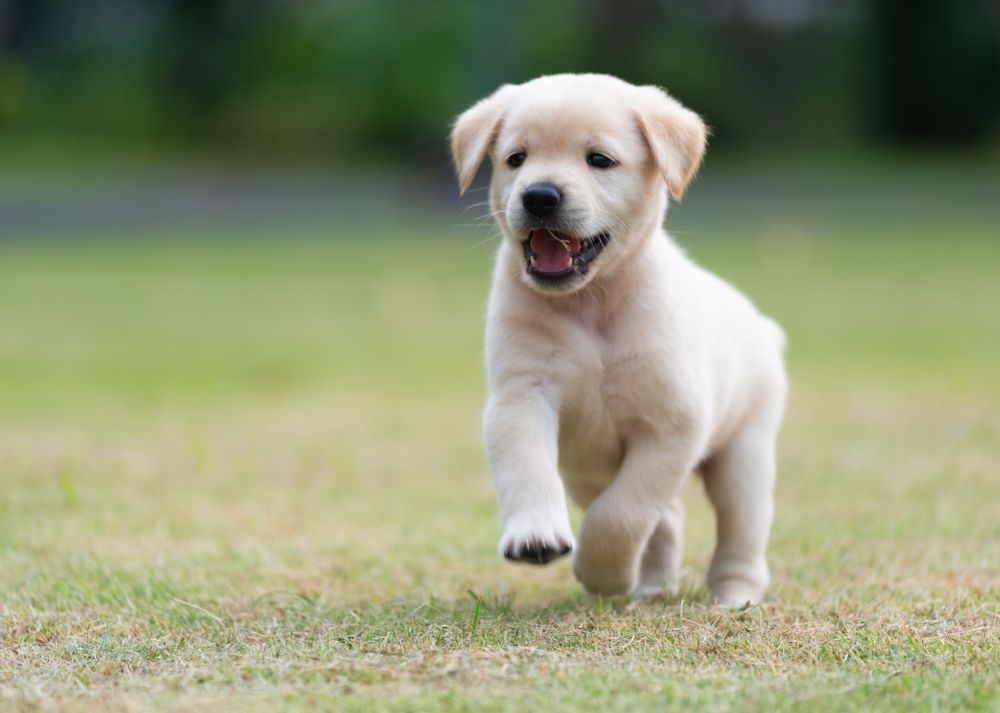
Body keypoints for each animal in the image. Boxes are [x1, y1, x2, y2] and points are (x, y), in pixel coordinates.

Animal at [450, 73, 784, 608]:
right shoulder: (521, 395)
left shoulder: (672, 426)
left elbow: (622, 513)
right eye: (516, 158)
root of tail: (763, 327)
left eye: (600, 160)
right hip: (584, 472)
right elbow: (527, 467)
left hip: (745, 454)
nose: (539, 195)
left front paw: (602, 573)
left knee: (739, 530)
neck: (593, 305)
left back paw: (735, 594)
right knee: (667, 520)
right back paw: (651, 583)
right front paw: (537, 535)